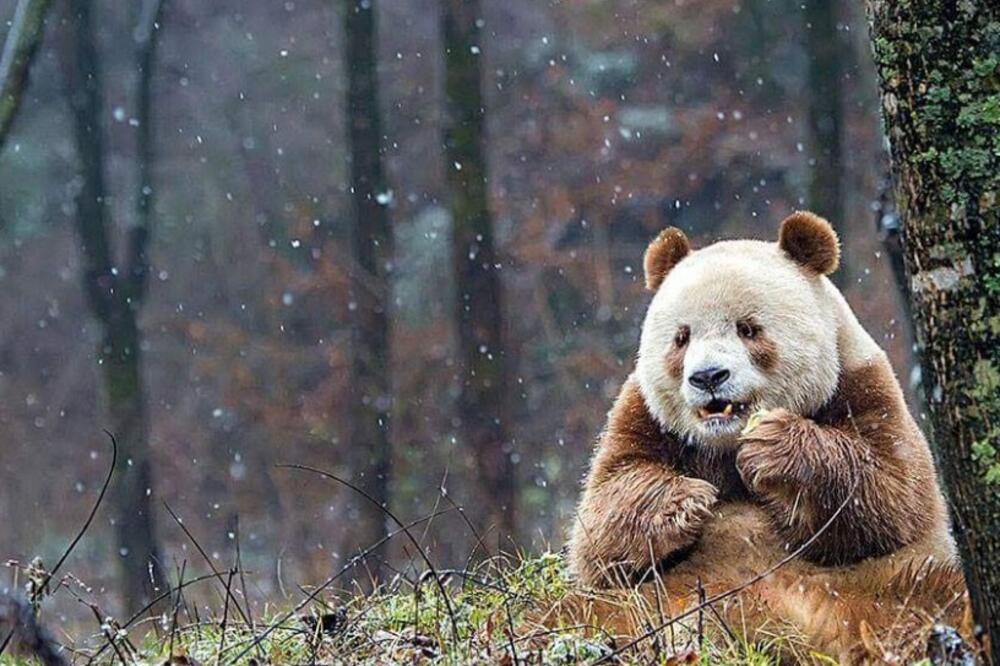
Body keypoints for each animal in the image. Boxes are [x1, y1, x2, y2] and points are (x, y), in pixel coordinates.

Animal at [560, 212, 968, 661]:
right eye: (682, 337)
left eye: (748, 329)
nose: (708, 376)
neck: (724, 443)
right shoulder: (644, 415)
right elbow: (602, 523)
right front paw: (687, 501)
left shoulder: (862, 386)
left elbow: (890, 495)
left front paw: (774, 449)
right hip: (640, 603)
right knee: (571, 614)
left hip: (880, 586)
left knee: (934, 596)